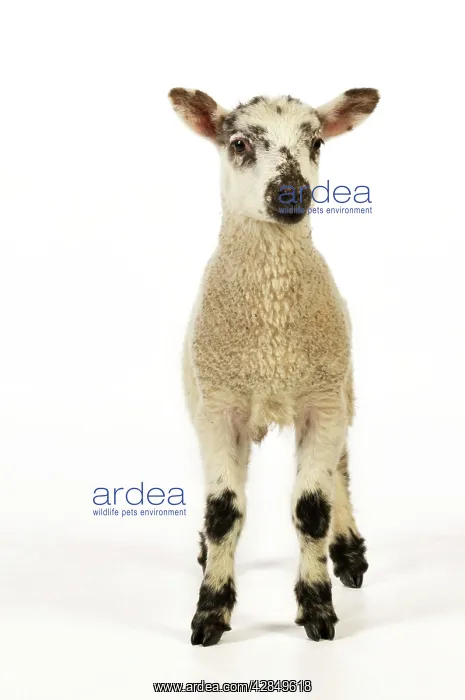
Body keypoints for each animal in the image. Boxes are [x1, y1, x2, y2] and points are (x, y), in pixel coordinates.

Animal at [168, 87, 379, 646]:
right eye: (239, 143)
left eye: (317, 142)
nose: (291, 193)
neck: (272, 343)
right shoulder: (219, 407)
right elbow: (224, 511)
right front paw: (210, 613)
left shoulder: (322, 401)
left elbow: (311, 508)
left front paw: (318, 608)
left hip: (344, 387)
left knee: (340, 469)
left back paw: (348, 553)